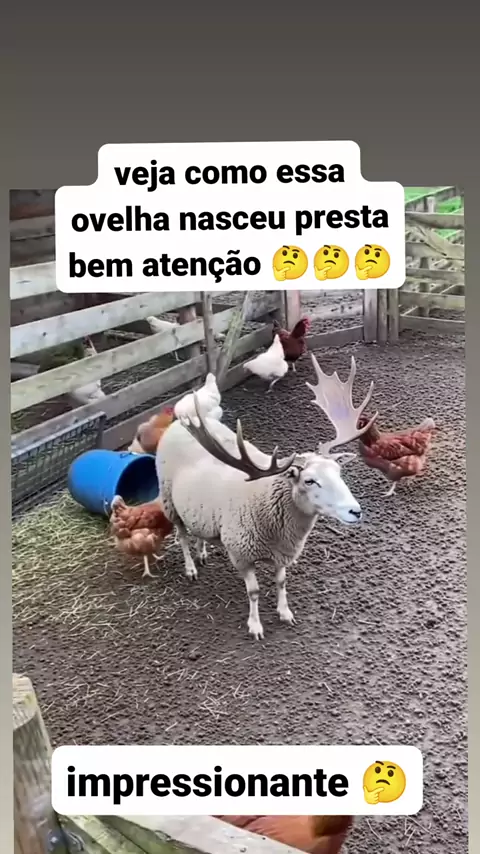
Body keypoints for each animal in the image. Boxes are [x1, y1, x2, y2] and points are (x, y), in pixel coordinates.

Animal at [156, 355, 377, 639]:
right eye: (309, 480)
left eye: (339, 471)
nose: (355, 511)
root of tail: (179, 424)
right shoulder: (240, 553)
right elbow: (254, 591)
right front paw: (255, 626)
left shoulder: (283, 551)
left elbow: (281, 581)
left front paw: (285, 613)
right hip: (168, 499)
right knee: (181, 535)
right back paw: (191, 568)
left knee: (196, 530)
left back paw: (202, 553)